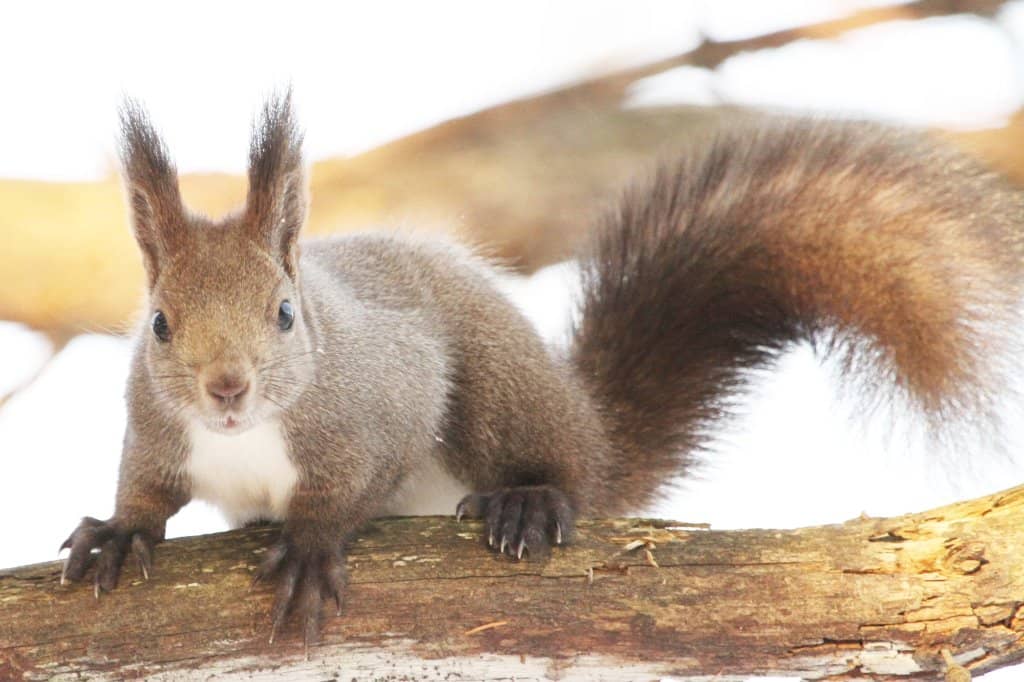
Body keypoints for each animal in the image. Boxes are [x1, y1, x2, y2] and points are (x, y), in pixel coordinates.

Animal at [60, 93, 1024, 644]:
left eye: (286, 314)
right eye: (159, 325)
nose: (226, 389)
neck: (247, 435)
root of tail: (592, 429)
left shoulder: (387, 395)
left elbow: (350, 485)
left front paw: (309, 545)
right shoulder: (156, 430)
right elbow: (145, 488)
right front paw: (119, 533)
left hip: (501, 391)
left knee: (556, 466)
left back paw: (531, 499)